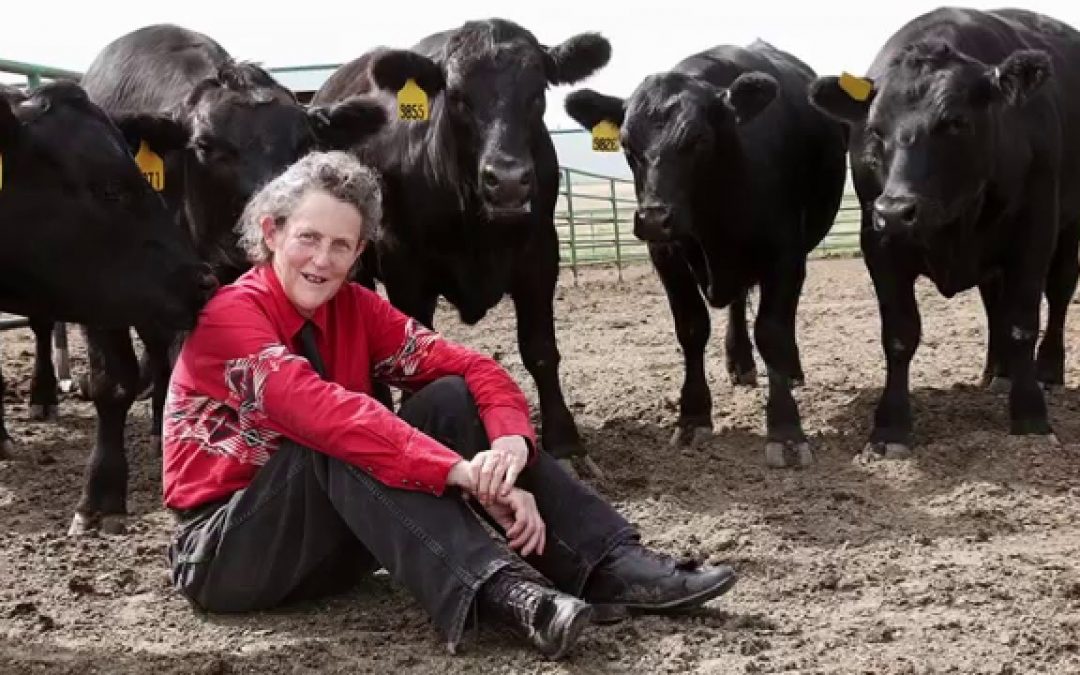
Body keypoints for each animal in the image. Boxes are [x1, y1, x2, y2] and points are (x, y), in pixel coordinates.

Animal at [313, 18, 613, 460]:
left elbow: (540, 348)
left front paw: (564, 437)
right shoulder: (405, 266)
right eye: (456, 96)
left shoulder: (540, 252)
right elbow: (412, 349)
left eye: (537, 91)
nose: (507, 180)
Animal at [561, 39, 846, 466]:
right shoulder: (667, 255)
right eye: (627, 145)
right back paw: (740, 363)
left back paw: (790, 371)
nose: (653, 218)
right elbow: (692, 328)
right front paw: (693, 416)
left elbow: (773, 331)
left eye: (697, 140)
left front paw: (785, 430)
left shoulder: (785, 253)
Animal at [812, 7, 1080, 457]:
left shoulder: (1034, 231)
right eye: (875, 129)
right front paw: (890, 426)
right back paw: (998, 373)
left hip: (1070, 226)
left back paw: (1046, 371)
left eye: (955, 122)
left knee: (1059, 293)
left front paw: (1030, 416)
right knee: (993, 301)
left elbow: (1021, 323)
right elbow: (900, 333)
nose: (896, 210)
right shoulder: (879, 243)